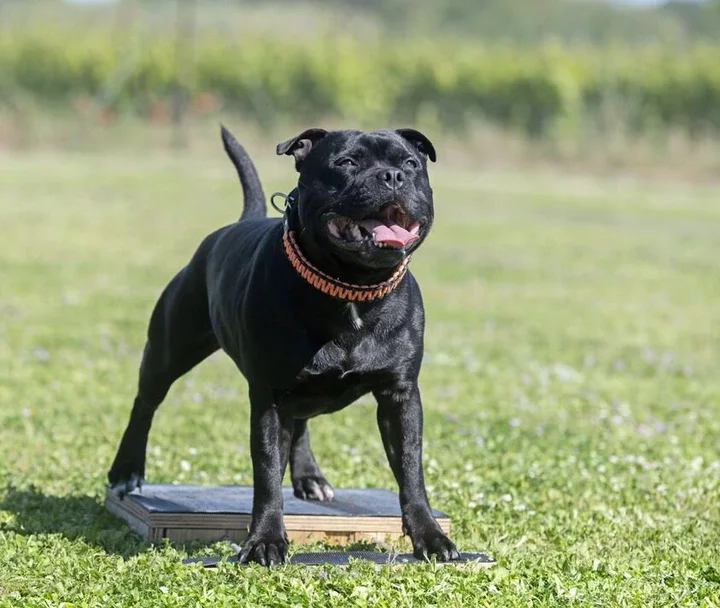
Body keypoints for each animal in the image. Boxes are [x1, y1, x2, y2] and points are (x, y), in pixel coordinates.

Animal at [109, 124, 458, 564]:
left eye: (410, 164)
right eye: (347, 162)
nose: (393, 176)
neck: (352, 288)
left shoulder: (400, 396)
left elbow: (411, 470)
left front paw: (430, 536)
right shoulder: (270, 399)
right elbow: (266, 473)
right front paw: (265, 540)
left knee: (302, 423)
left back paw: (310, 477)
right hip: (169, 350)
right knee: (145, 404)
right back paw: (126, 472)